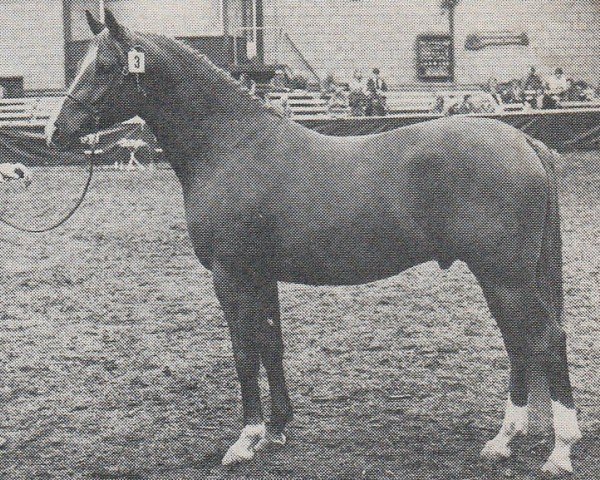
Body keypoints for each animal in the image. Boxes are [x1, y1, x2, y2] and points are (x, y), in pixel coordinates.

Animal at [45, 9, 580, 474]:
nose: (54, 131)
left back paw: (559, 450)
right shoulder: (260, 277)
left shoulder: (231, 277)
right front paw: (276, 430)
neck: (230, 146)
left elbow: (244, 352)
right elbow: (271, 345)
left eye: (106, 65)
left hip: (504, 276)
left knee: (545, 338)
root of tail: (524, 141)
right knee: (520, 342)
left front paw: (245, 440)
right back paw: (505, 440)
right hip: (506, 278)